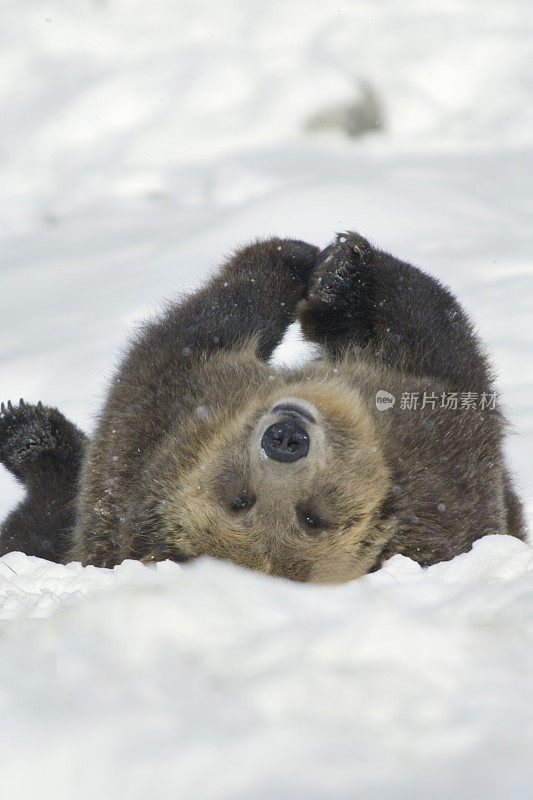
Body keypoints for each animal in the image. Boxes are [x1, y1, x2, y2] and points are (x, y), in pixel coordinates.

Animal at [0, 231, 524, 580]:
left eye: (313, 515)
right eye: (240, 498)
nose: (286, 438)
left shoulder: (441, 456)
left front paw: (334, 268)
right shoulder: (163, 427)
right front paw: (321, 267)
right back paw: (30, 434)